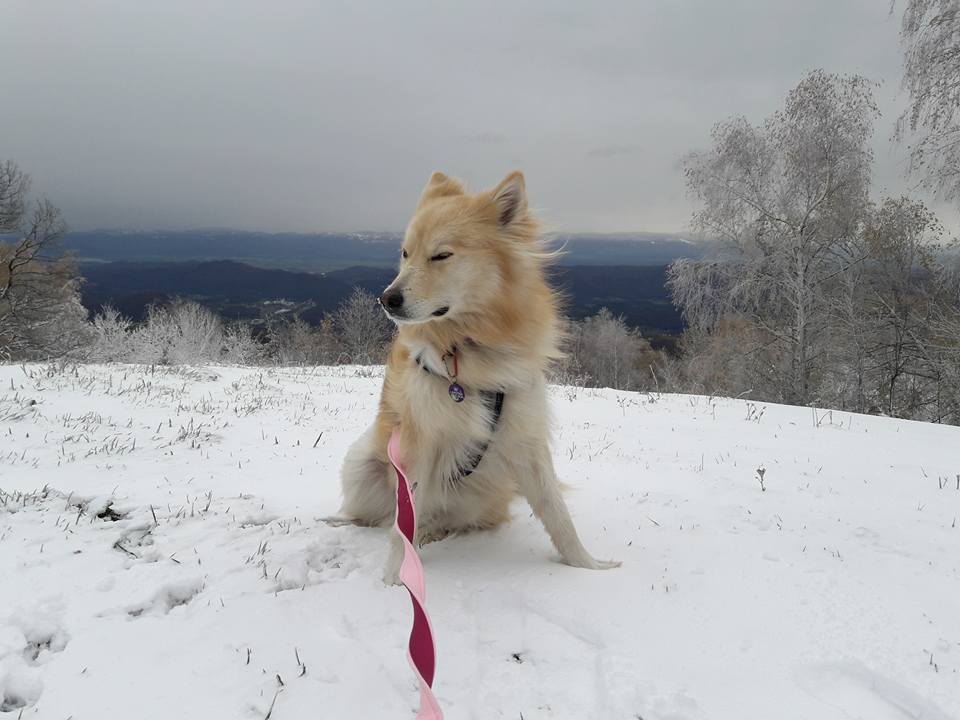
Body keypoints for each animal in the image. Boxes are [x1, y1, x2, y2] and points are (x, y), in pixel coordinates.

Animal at [334, 170, 619, 584]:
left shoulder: (526, 436)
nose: (387, 298)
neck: (468, 348)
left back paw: (434, 532)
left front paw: (586, 566)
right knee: (380, 517)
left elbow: (556, 511)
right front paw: (393, 582)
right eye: (405, 253)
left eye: (441, 255)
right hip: (362, 466)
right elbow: (401, 527)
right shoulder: (419, 441)